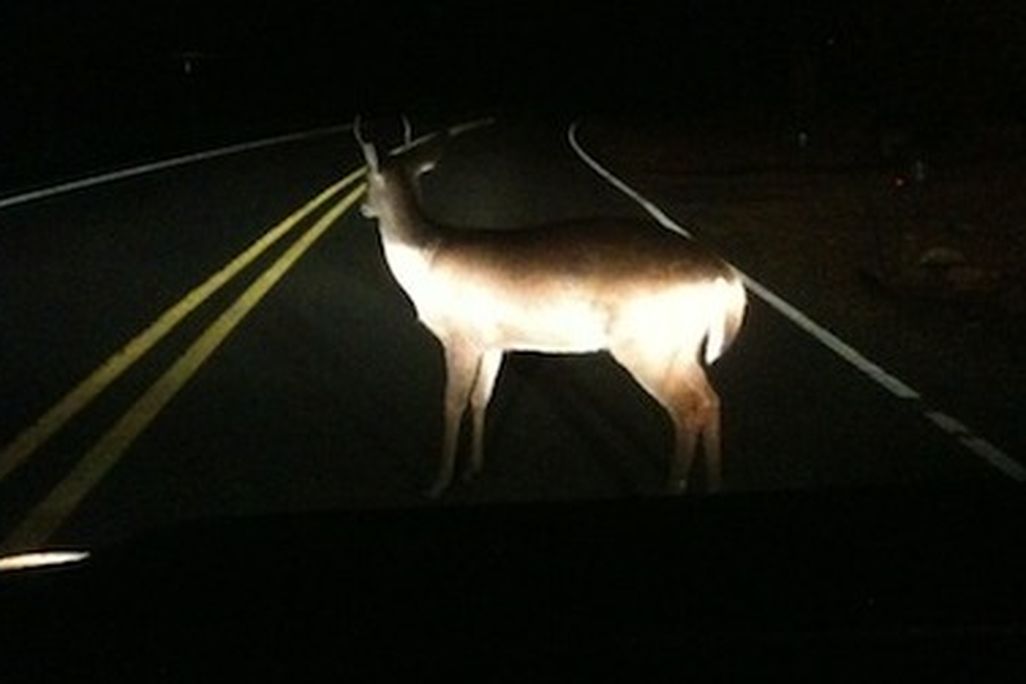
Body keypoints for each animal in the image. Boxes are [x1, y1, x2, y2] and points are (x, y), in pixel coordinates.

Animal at [355, 118, 747, 498]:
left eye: (367, 181)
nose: (362, 207)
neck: (426, 257)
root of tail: (725, 277)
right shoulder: (492, 342)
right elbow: (481, 399)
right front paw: (473, 469)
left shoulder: (460, 337)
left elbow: (452, 404)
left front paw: (438, 483)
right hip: (682, 347)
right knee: (710, 400)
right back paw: (714, 483)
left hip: (647, 346)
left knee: (688, 410)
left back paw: (673, 486)